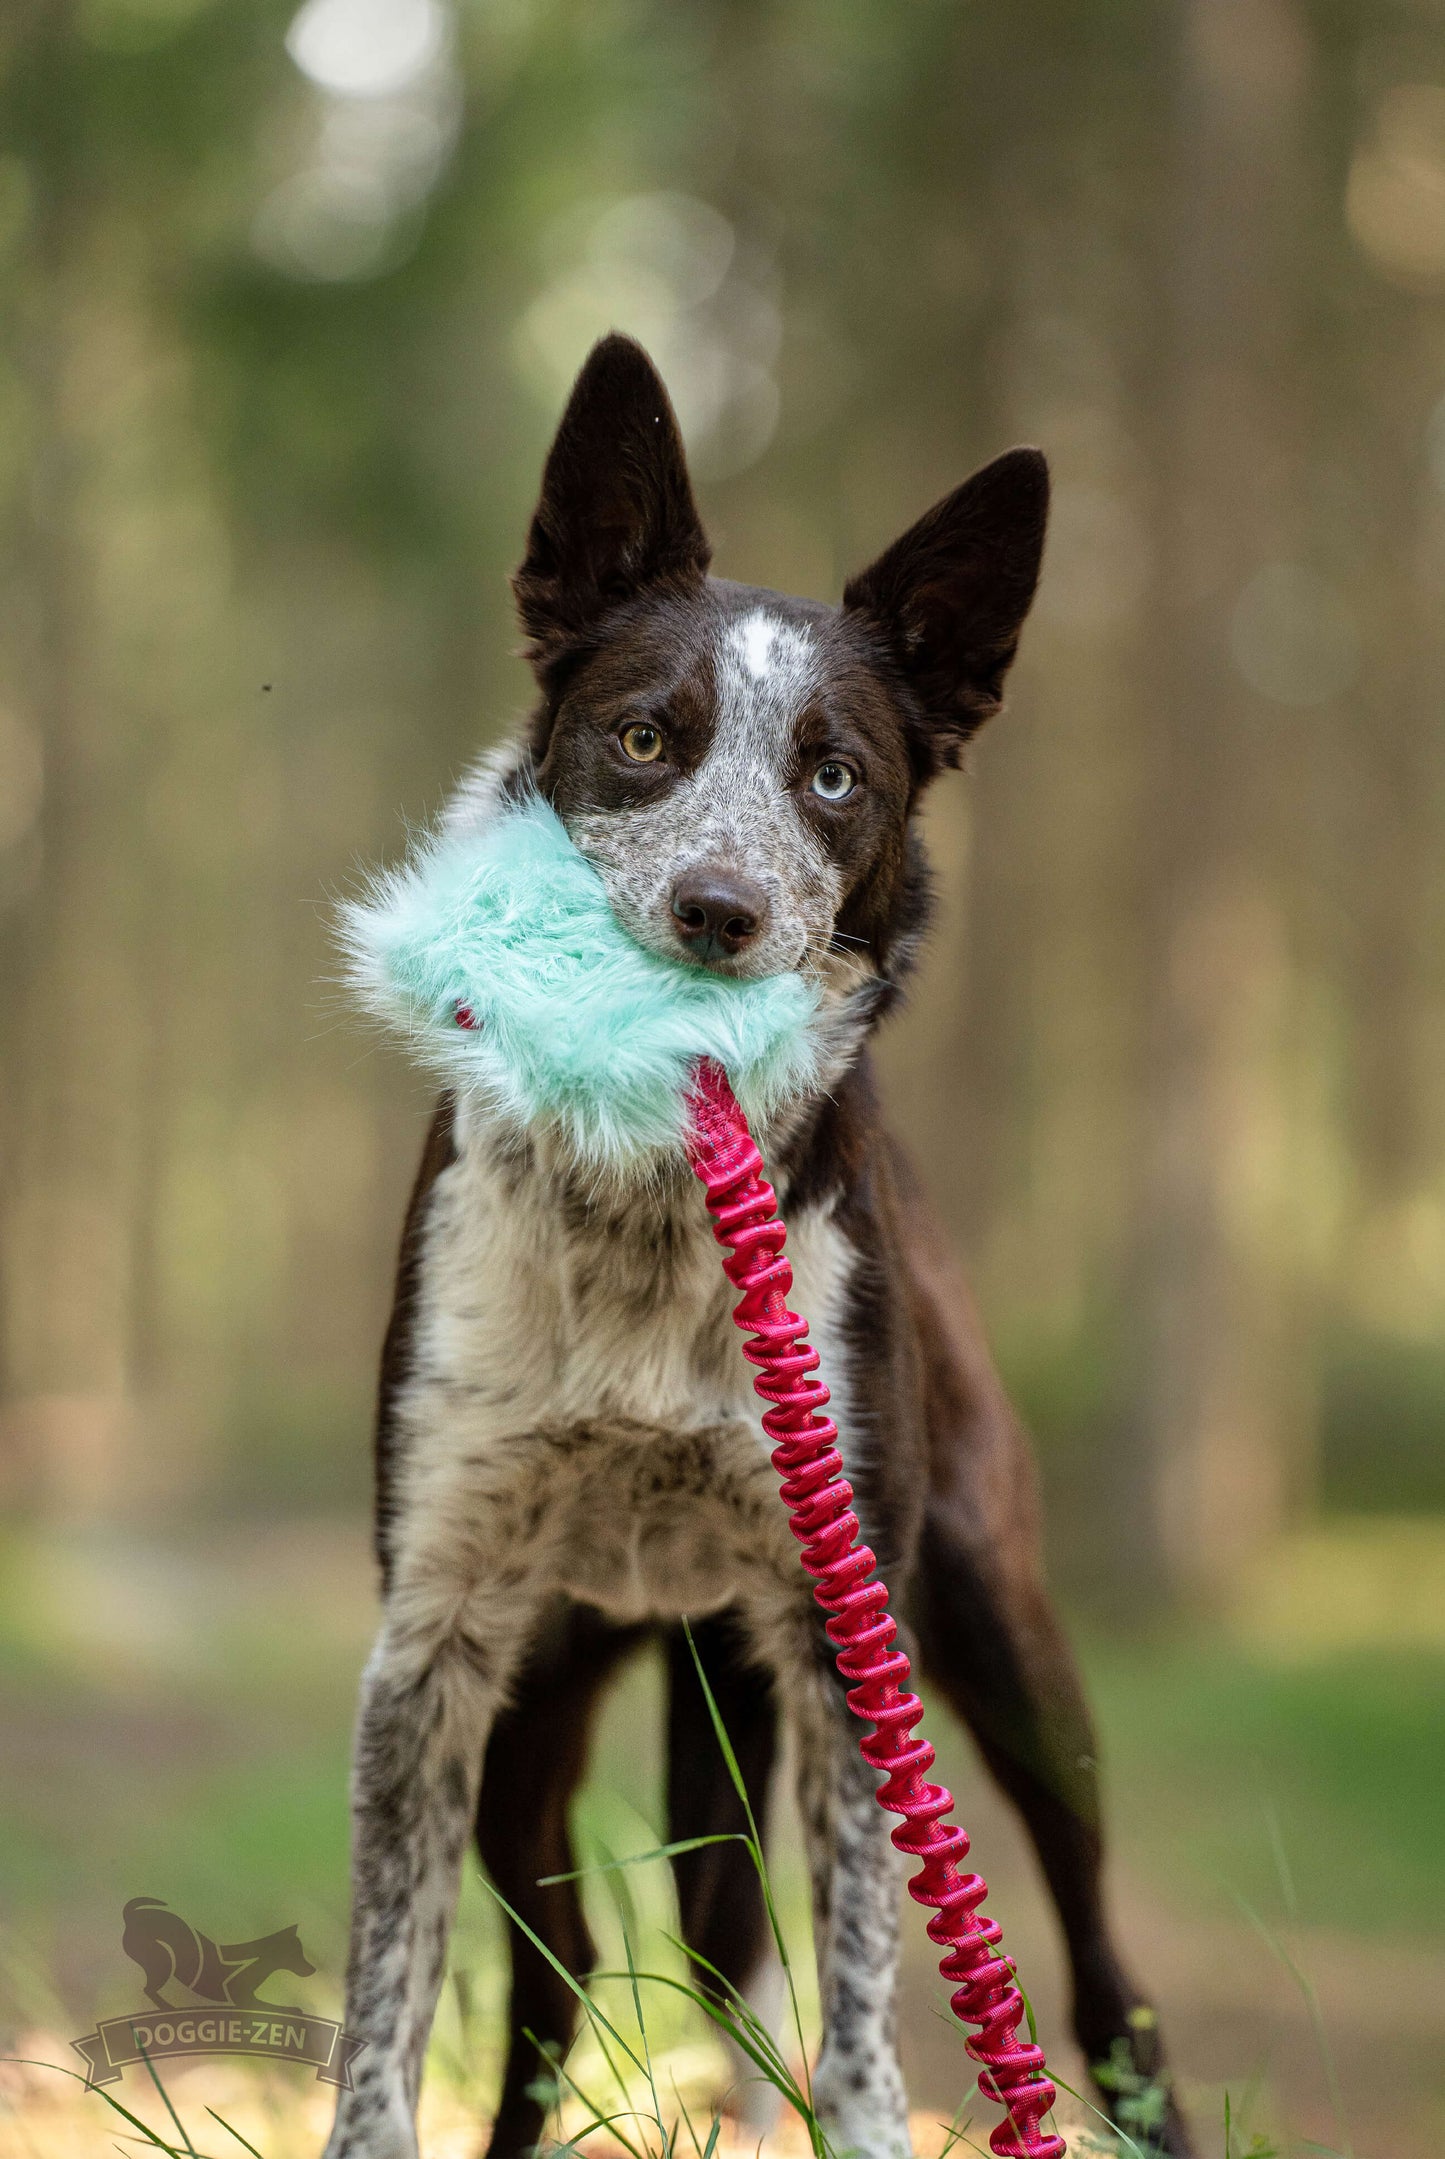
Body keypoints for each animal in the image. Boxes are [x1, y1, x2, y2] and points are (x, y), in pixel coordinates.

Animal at [326, 336, 1192, 2159]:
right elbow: (382, 2018)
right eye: (646, 737)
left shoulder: (842, 1640)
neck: (650, 1201)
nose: (716, 909)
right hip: (558, 1698)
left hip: (993, 1639)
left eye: (835, 775)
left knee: (1100, 1978)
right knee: (570, 1970)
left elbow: (864, 2002)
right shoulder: (434, 1642)